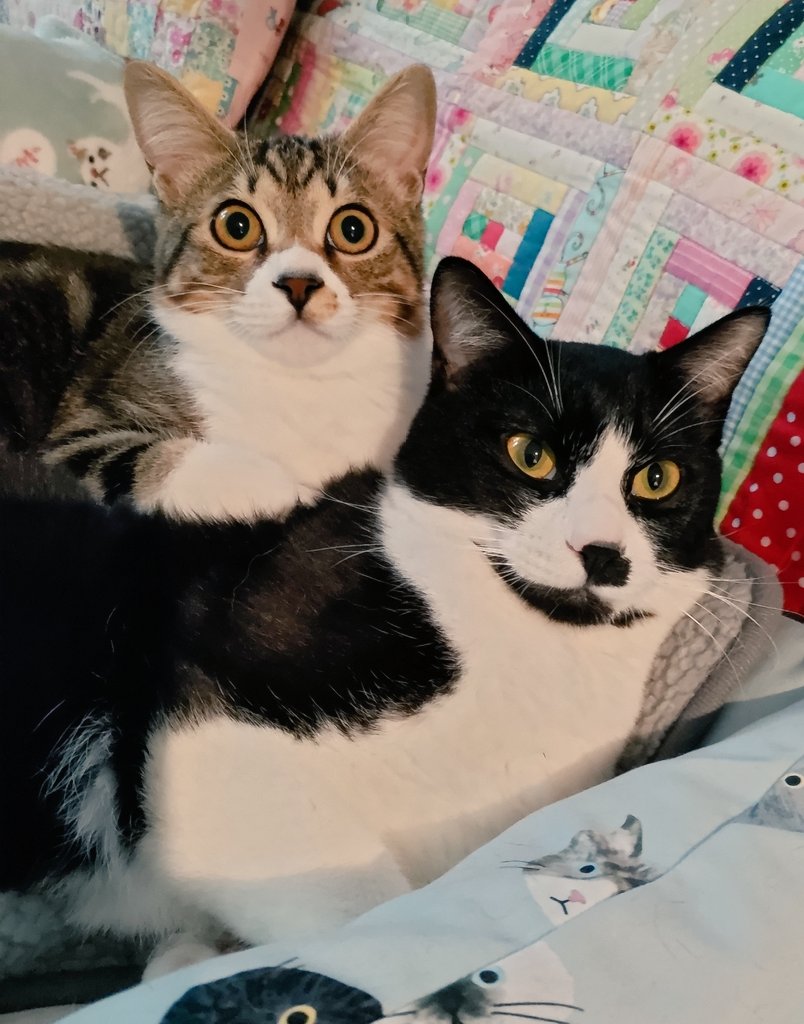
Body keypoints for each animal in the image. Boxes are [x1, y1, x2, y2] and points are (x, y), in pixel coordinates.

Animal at [0, 59, 435, 520]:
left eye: (353, 229)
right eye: (237, 226)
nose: (299, 282)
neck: (297, 383)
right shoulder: (81, 427)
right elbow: (141, 458)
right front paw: (283, 488)